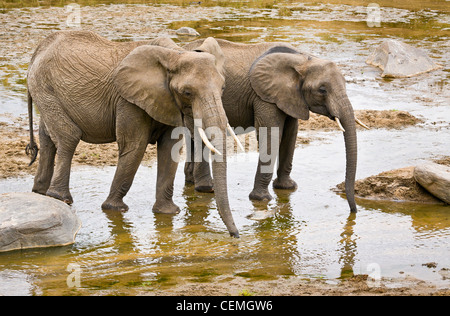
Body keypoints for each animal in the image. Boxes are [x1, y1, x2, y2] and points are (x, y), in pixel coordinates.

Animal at [25, 30, 241, 237]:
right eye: (187, 92)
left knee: (47, 138)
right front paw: (113, 209)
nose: (236, 235)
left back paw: (40, 193)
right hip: (45, 88)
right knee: (69, 137)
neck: (174, 54)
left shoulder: (168, 101)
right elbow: (135, 147)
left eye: (223, 87)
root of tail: (38, 51)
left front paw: (167, 213)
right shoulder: (127, 100)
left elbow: (170, 149)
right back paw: (60, 198)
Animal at [183, 39, 370, 212]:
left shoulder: (290, 97)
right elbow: (271, 135)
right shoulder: (264, 96)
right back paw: (206, 188)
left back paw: (191, 182)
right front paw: (262, 199)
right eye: (322, 90)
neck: (303, 59)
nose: (353, 211)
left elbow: (290, 134)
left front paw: (288, 187)